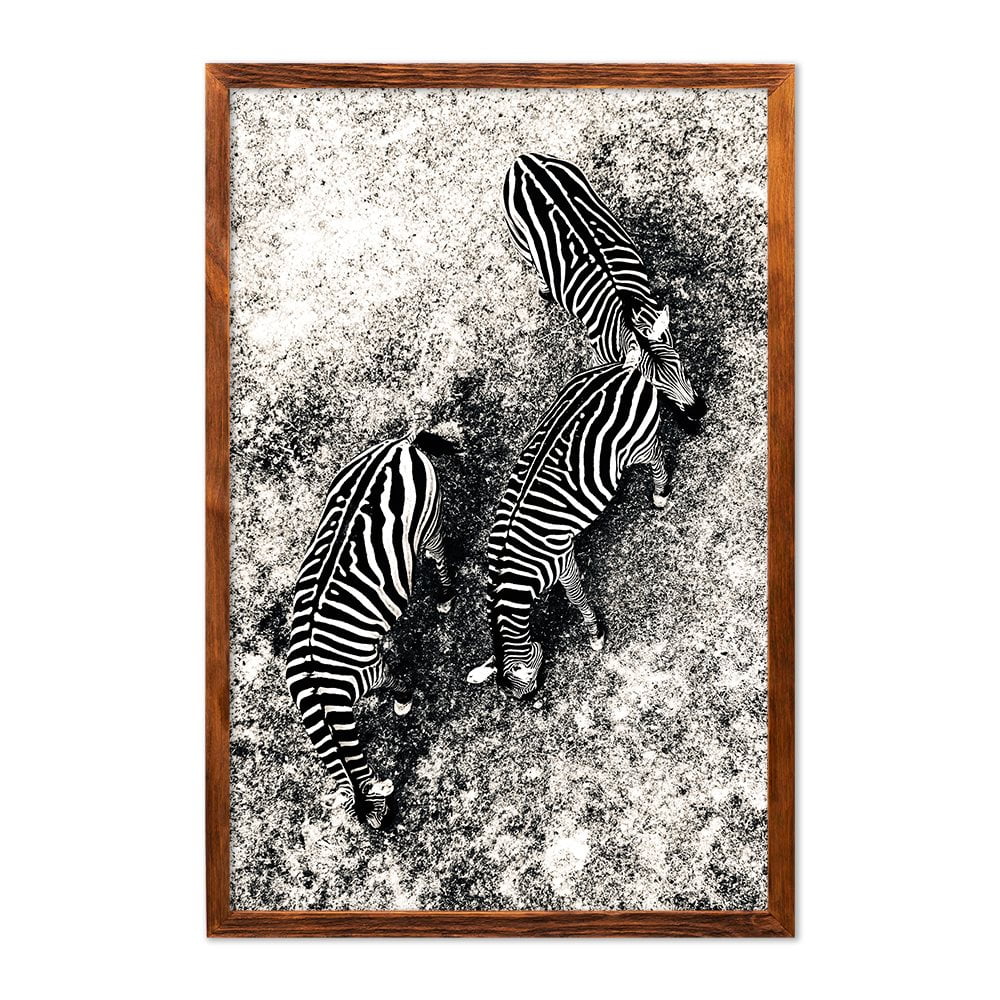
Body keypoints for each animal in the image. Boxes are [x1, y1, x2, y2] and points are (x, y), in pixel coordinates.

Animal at [285, 429, 458, 829]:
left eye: (383, 816)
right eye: (373, 824)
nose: (389, 833)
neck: (321, 694)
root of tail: (400, 445)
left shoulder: (370, 668)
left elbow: (393, 680)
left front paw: (403, 701)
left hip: (428, 520)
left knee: (439, 554)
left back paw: (445, 596)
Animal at [467, 356, 702, 698]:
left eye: (527, 689)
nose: (536, 702)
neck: (514, 573)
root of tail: (625, 367)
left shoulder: (563, 560)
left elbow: (576, 598)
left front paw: (596, 633)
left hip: (638, 444)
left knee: (657, 457)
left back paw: (660, 493)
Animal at [502, 152, 706, 432]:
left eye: (682, 365)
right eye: (655, 386)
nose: (699, 411)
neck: (627, 317)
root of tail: (524, 160)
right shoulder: (602, 357)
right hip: (521, 241)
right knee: (535, 266)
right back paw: (545, 290)